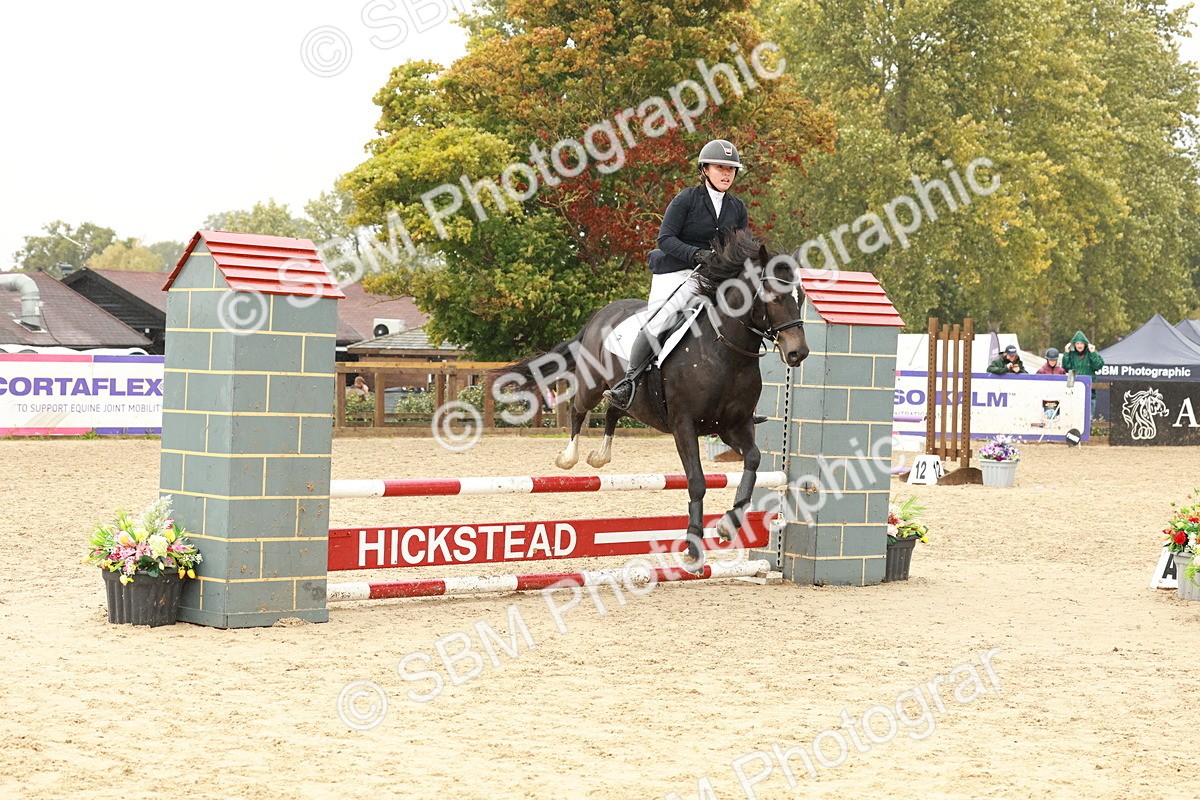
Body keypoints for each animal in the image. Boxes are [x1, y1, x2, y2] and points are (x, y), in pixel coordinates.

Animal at [500, 229, 809, 566]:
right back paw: (569, 457)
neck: (725, 352)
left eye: (801, 298)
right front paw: (693, 546)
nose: (798, 353)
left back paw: (600, 455)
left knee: (614, 408)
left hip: (631, 399)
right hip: (591, 384)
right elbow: (697, 481)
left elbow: (753, 459)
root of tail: (600, 315)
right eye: (774, 297)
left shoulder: (733, 426)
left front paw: (729, 523)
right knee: (579, 409)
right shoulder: (684, 425)